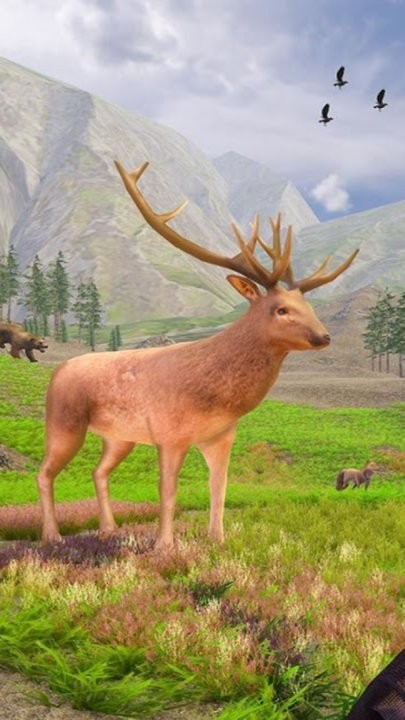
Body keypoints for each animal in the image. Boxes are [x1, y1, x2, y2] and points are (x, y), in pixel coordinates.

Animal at [37, 160, 359, 549]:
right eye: (281, 309)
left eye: (308, 306)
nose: (323, 336)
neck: (217, 397)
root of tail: (58, 369)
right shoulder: (169, 434)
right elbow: (167, 490)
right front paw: (164, 546)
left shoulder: (221, 436)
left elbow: (218, 487)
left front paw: (218, 540)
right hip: (63, 420)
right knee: (45, 472)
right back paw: (52, 536)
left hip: (119, 436)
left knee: (97, 471)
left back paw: (108, 529)